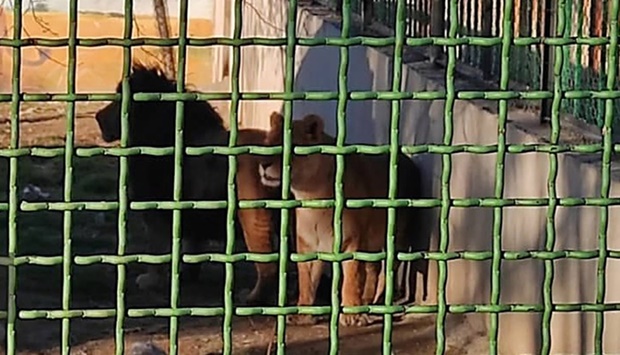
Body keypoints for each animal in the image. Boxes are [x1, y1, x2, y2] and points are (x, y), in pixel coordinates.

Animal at [95, 62, 278, 306]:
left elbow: (157, 249)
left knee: (269, 268)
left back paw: (251, 298)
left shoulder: (156, 213)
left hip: (256, 218)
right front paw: (188, 275)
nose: (97, 117)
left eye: (118, 101)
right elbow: (192, 245)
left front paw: (151, 280)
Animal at [260, 112, 428, 326]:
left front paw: (352, 315)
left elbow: (352, 278)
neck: (312, 195)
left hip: (398, 235)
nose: (263, 164)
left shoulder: (351, 241)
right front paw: (303, 314)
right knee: (373, 269)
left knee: (388, 270)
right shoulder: (307, 245)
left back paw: (380, 301)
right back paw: (368, 299)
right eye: (267, 144)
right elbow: (306, 281)